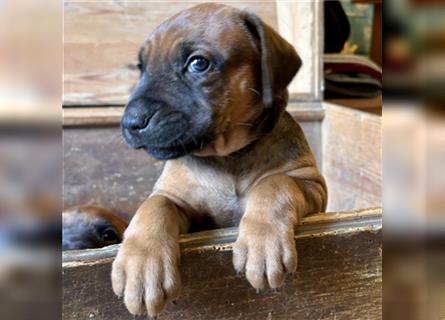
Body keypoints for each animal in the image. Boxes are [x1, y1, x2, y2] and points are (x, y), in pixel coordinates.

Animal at [111, 3, 326, 318]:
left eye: (198, 64)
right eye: (142, 67)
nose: (130, 122)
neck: (227, 158)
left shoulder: (311, 184)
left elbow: (276, 183)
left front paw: (263, 242)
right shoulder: (176, 199)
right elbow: (155, 205)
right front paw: (141, 264)